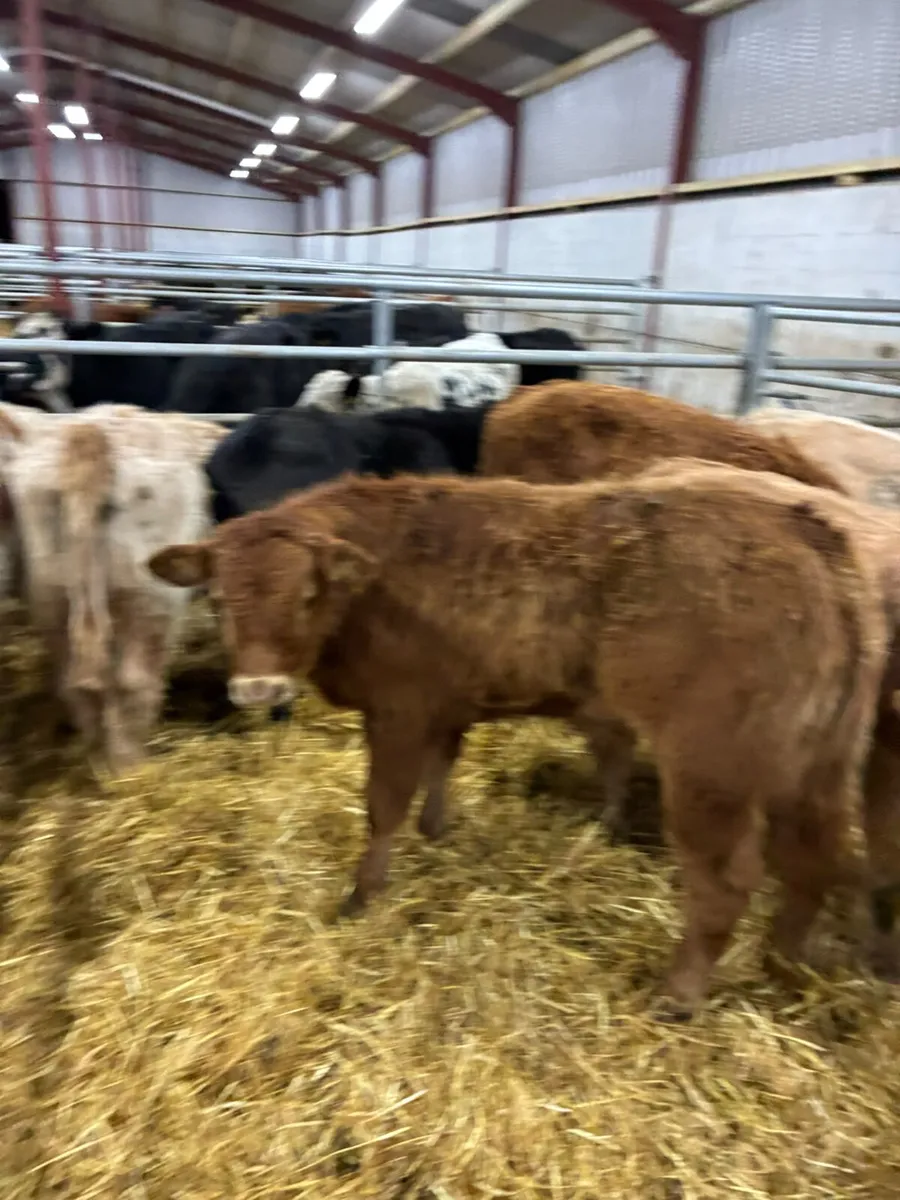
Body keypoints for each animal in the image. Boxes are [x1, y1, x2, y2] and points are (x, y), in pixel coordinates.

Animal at [0, 402, 225, 770]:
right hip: (150, 597)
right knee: (133, 681)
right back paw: (131, 767)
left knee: (77, 684)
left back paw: (101, 765)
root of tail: (92, 431)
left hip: (53, 594)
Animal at [148, 470, 890, 1017]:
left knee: (728, 880)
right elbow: (440, 769)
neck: (376, 576)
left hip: (713, 767)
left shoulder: (400, 708)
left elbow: (384, 806)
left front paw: (361, 897)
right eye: (218, 597)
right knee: (813, 860)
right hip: (817, 762)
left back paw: (679, 996)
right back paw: (782, 965)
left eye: (307, 594)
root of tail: (803, 524)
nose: (257, 689)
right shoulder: (446, 703)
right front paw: (437, 830)